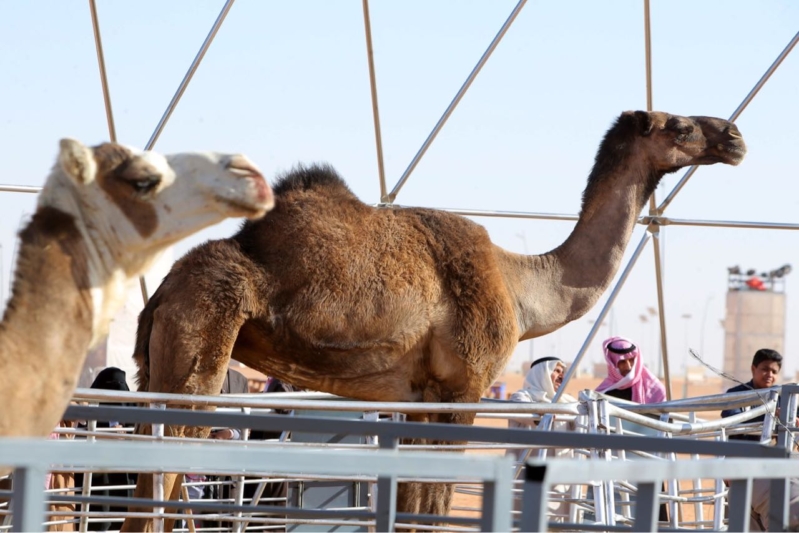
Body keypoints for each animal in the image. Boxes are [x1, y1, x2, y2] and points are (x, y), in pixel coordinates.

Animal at [122, 110, 748, 528]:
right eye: (682, 126)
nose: (735, 136)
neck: (522, 289)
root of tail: (164, 293)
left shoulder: (417, 394)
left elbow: (412, 503)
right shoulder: (462, 386)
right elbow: (436, 500)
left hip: (156, 361)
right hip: (200, 347)